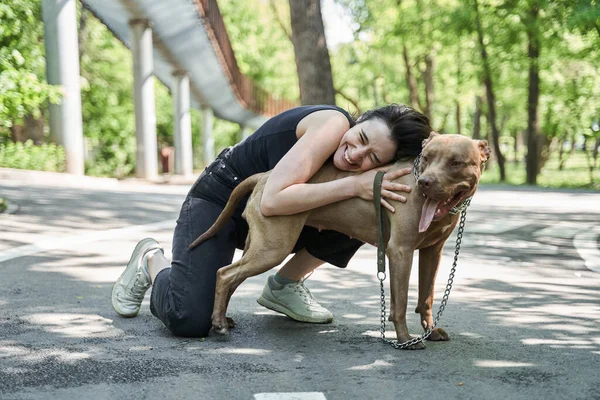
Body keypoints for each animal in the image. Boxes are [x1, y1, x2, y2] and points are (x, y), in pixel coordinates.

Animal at [190, 132, 490, 350]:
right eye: (425, 158)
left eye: (456, 162)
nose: (425, 182)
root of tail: (265, 175)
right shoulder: (400, 251)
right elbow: (401, 302)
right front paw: (405, 340)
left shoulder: (432, 252)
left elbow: (426, 297)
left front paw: (430, 331)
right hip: (272, 248)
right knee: (225, 274)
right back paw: (219, 323)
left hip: (261, 244)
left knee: (233, 278)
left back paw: (223, 318)